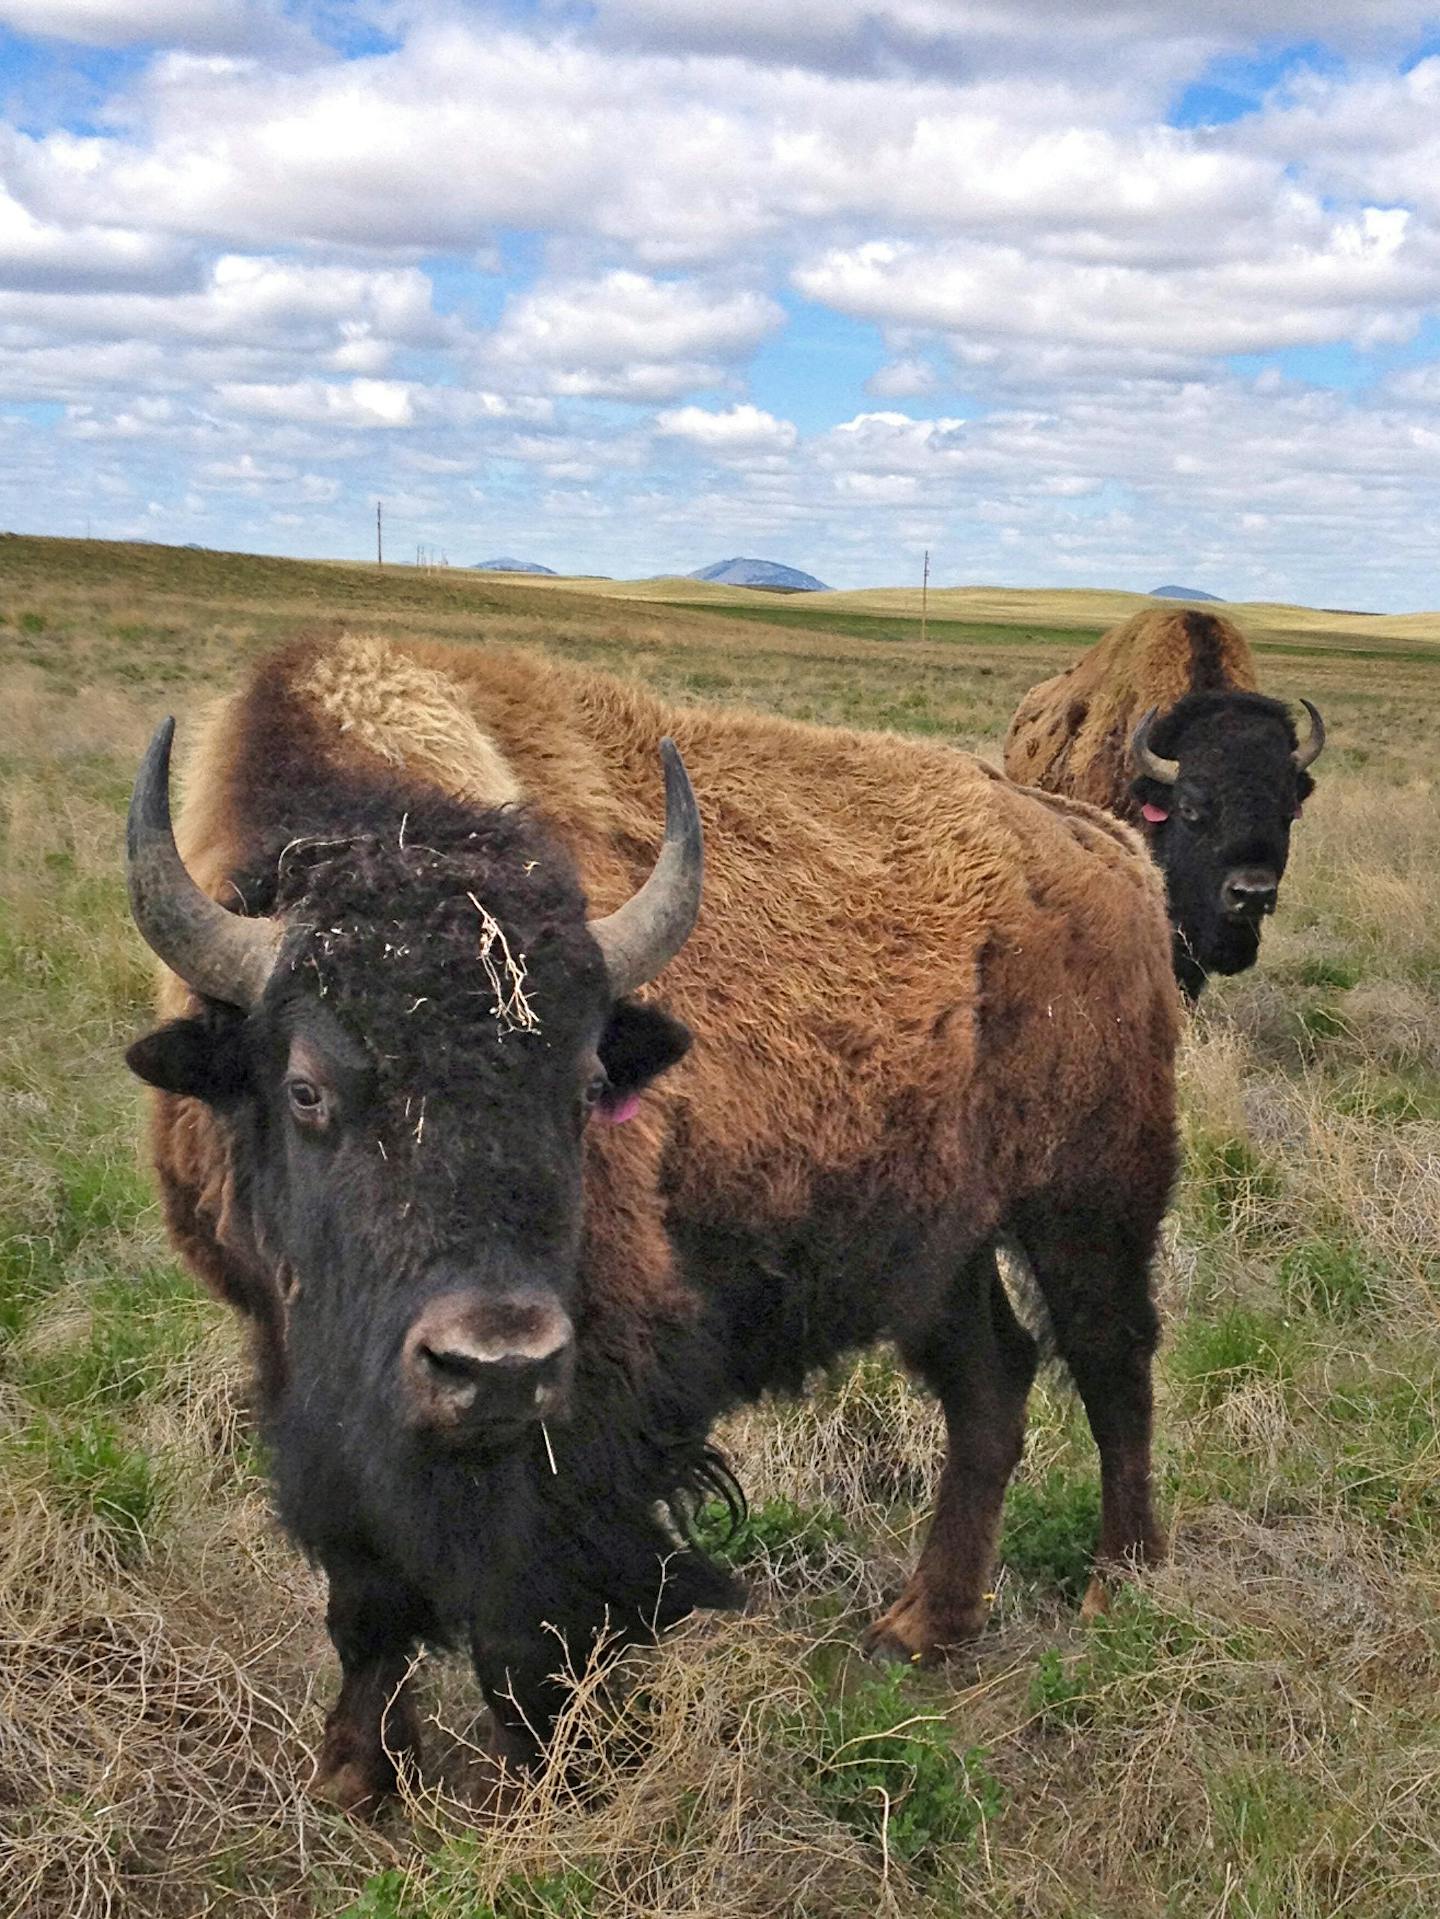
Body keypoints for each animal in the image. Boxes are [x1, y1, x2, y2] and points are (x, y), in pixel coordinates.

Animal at [126, 633, 1182, 1811]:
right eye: (307, 1087)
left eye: (589, 1082)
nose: (492, 1363)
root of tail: (1103, 850)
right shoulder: (298, 1358)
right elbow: (365, 1586)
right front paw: (356, 1774)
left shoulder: (594, 1384)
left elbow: (538, 1602)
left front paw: (566, 1774)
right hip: (938, 1247)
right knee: (992, 1384)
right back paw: (919, 1626)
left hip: (1090, 1200)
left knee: (1113, 1368)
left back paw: (1118, 1586)